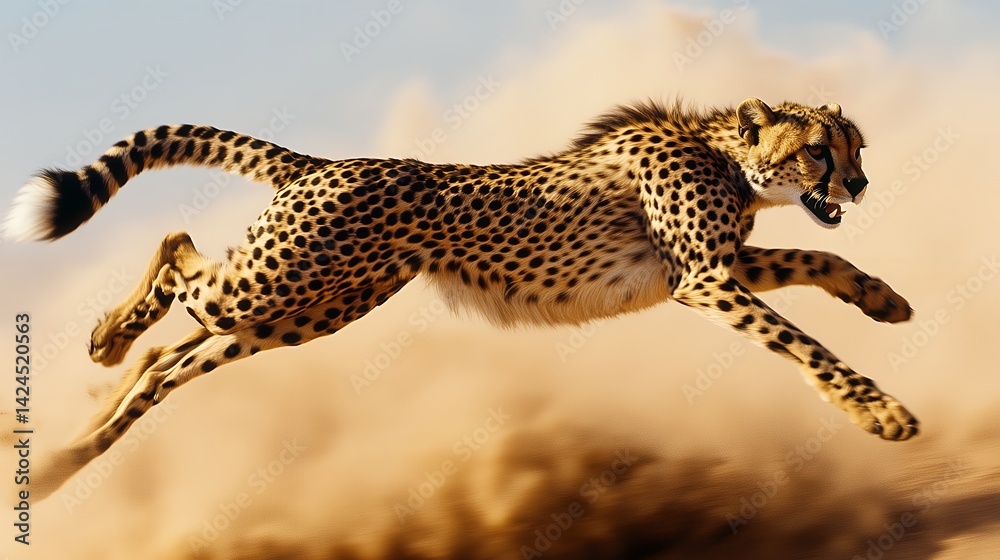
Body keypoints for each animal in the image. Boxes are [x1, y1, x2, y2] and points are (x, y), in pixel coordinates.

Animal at [3, 98, 917, 499]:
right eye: (819, 150)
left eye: (857, 148)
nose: (862, 184)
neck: (725, 152)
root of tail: (323, 163)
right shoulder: (702, 279)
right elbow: (803, 342)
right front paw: (881, 413)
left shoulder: (712, 269)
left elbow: (814, 252)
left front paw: (882, 298)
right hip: (275, 285)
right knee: (175, 252)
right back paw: (105, 341)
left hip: (300, 313)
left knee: (170, 361)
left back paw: (59, 463)